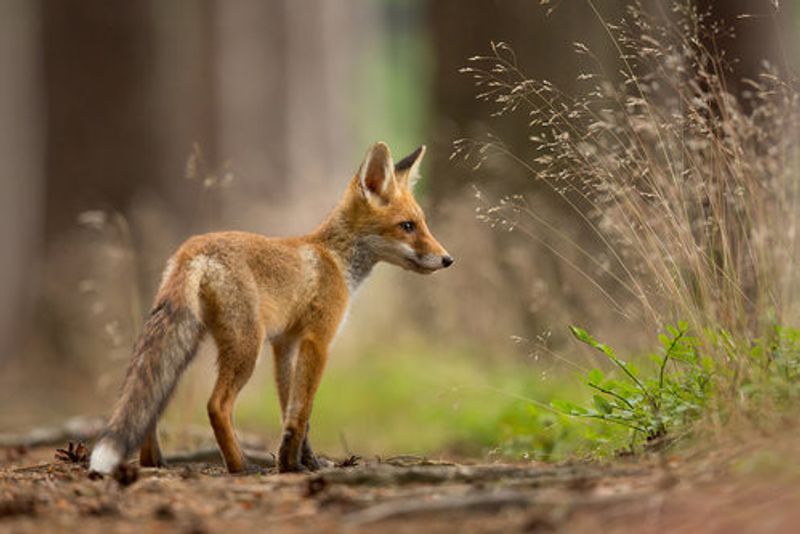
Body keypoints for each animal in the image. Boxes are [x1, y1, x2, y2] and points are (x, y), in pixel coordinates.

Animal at [89, 142, 453, 475]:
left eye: (423, 223)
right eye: (407, 226)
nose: (448, 259)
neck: (334, 259)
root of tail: (192, 249)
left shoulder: (285, 344)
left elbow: (290, 412)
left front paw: (304, 462)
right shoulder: (318, 340)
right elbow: (302, 412)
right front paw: (292, 466)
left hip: (189, 342)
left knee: (151, 402)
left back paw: (154, 462)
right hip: (245, 347)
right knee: (216, 406)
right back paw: (241, 467)